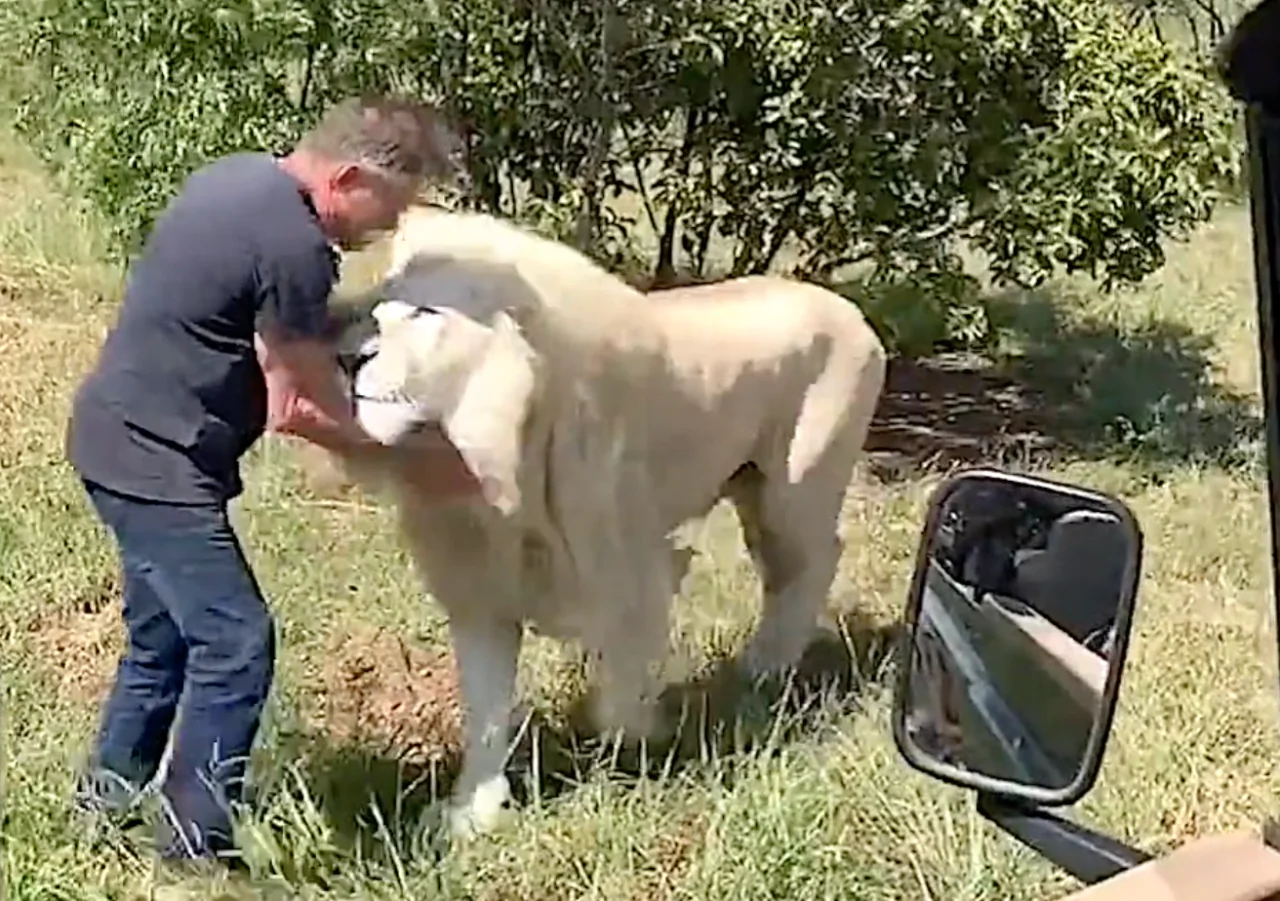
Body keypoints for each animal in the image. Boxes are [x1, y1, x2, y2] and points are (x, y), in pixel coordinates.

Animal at [310, 204, 888, 839]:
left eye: (426, 313)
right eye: (375, 311)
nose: (346, 358)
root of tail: (852, 311)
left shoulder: (629, 566)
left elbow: (621, 682)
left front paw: (636, 750)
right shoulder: (482, 591)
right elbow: (484, 713)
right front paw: (472, 814)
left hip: (795, 490)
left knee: (812, 562)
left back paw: (769, 670)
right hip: (756, 492)